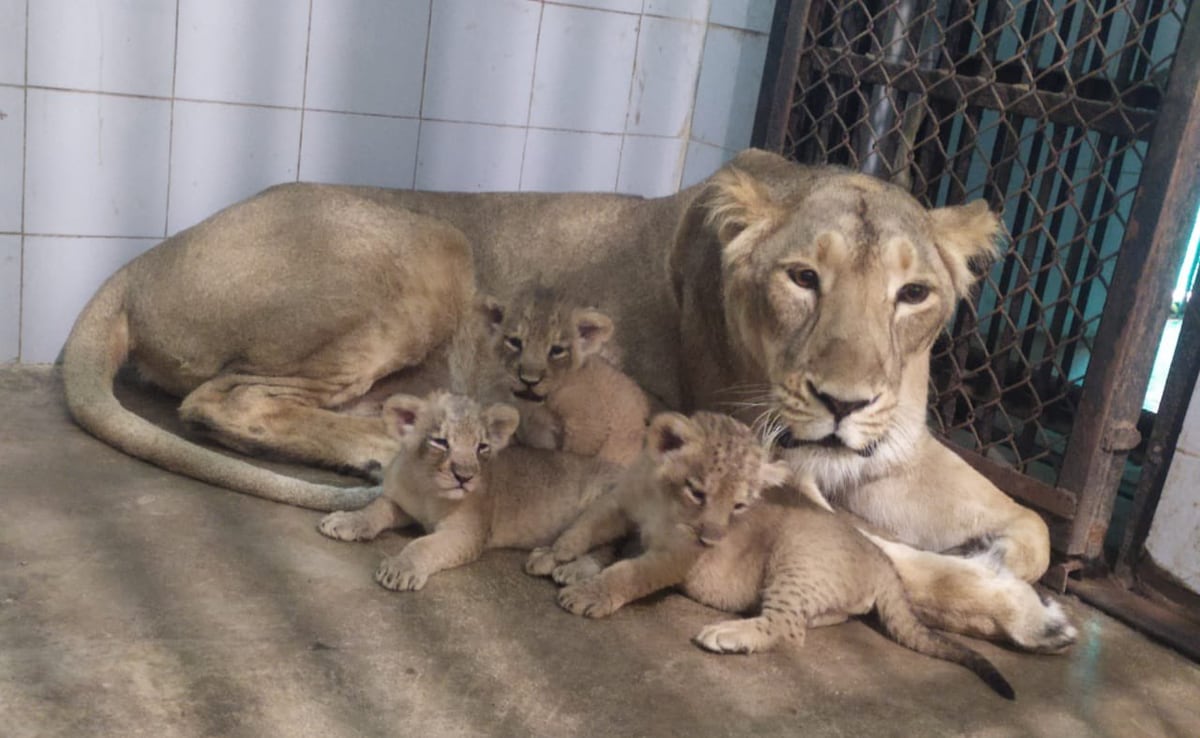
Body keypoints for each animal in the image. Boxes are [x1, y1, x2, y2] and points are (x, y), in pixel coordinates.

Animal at [60, 148, 1073, 651]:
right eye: (801, 278)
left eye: (914, 294)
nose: (842, 400)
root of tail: (144, 257)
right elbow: (888, 557)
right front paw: (1025, 611)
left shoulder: (889, 448)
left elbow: (1031, 526)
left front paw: (1009, 563)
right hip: (434, 244)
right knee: (221, 399)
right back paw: (383, 447)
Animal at [526, 410, 1015, 700]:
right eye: (698, 492)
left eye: (741, 506)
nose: (712, 538)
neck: (663, 503)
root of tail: (881, 559)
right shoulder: (621, 503)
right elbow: (585, 527)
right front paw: (555, 556)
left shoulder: (676, 556)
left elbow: (630, 572)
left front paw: (589, 593)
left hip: (796, 555)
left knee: (788, 628)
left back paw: (726, 634)